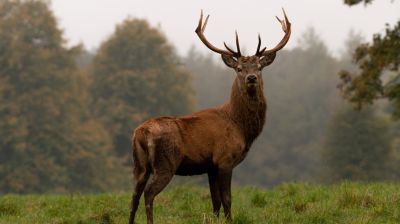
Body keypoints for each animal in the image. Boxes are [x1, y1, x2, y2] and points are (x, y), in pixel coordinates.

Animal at [130, 8, 292, 224]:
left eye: (259, 67)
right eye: (239, 68)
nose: (251, 78)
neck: (240, 126)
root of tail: (140, 133)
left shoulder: (210, 167)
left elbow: (215, 200)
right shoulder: (224, 159)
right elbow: (227, 199)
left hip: (140, 165)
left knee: (134, 195)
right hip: (165, 162)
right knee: (148, 194)